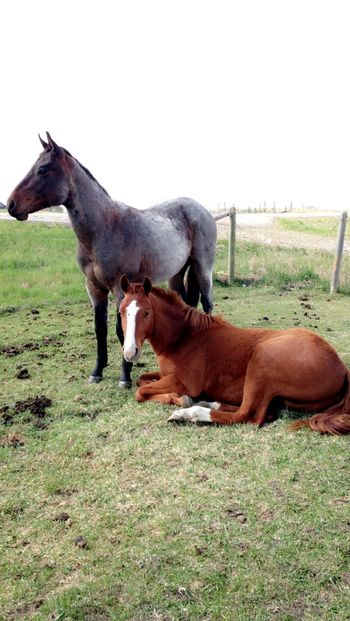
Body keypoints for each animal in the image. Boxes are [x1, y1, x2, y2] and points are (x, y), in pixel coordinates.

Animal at [7, 133, 216, 386]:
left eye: (43, 169)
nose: (11, 204)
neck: (103, 228)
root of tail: (202, 209)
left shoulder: (119, 288)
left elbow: (121, 329)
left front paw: (125, 376)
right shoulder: (94, 288)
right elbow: (100, 329)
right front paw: (97, 371)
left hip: (202, 268)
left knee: (207, 303)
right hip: (176, 275)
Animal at [119, 274, 350, 434]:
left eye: (146, 312)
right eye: (121, 311)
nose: (130, 352)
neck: (183, 337)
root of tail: (342, 368)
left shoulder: (183, 381)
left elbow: (141, 391)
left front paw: (180, 399)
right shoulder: (165, 374)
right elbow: (141, 380)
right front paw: (179, 398)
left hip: (262, 361)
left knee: (248, 415)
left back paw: (189, 413)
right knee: (264, 412)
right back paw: (207, 403)